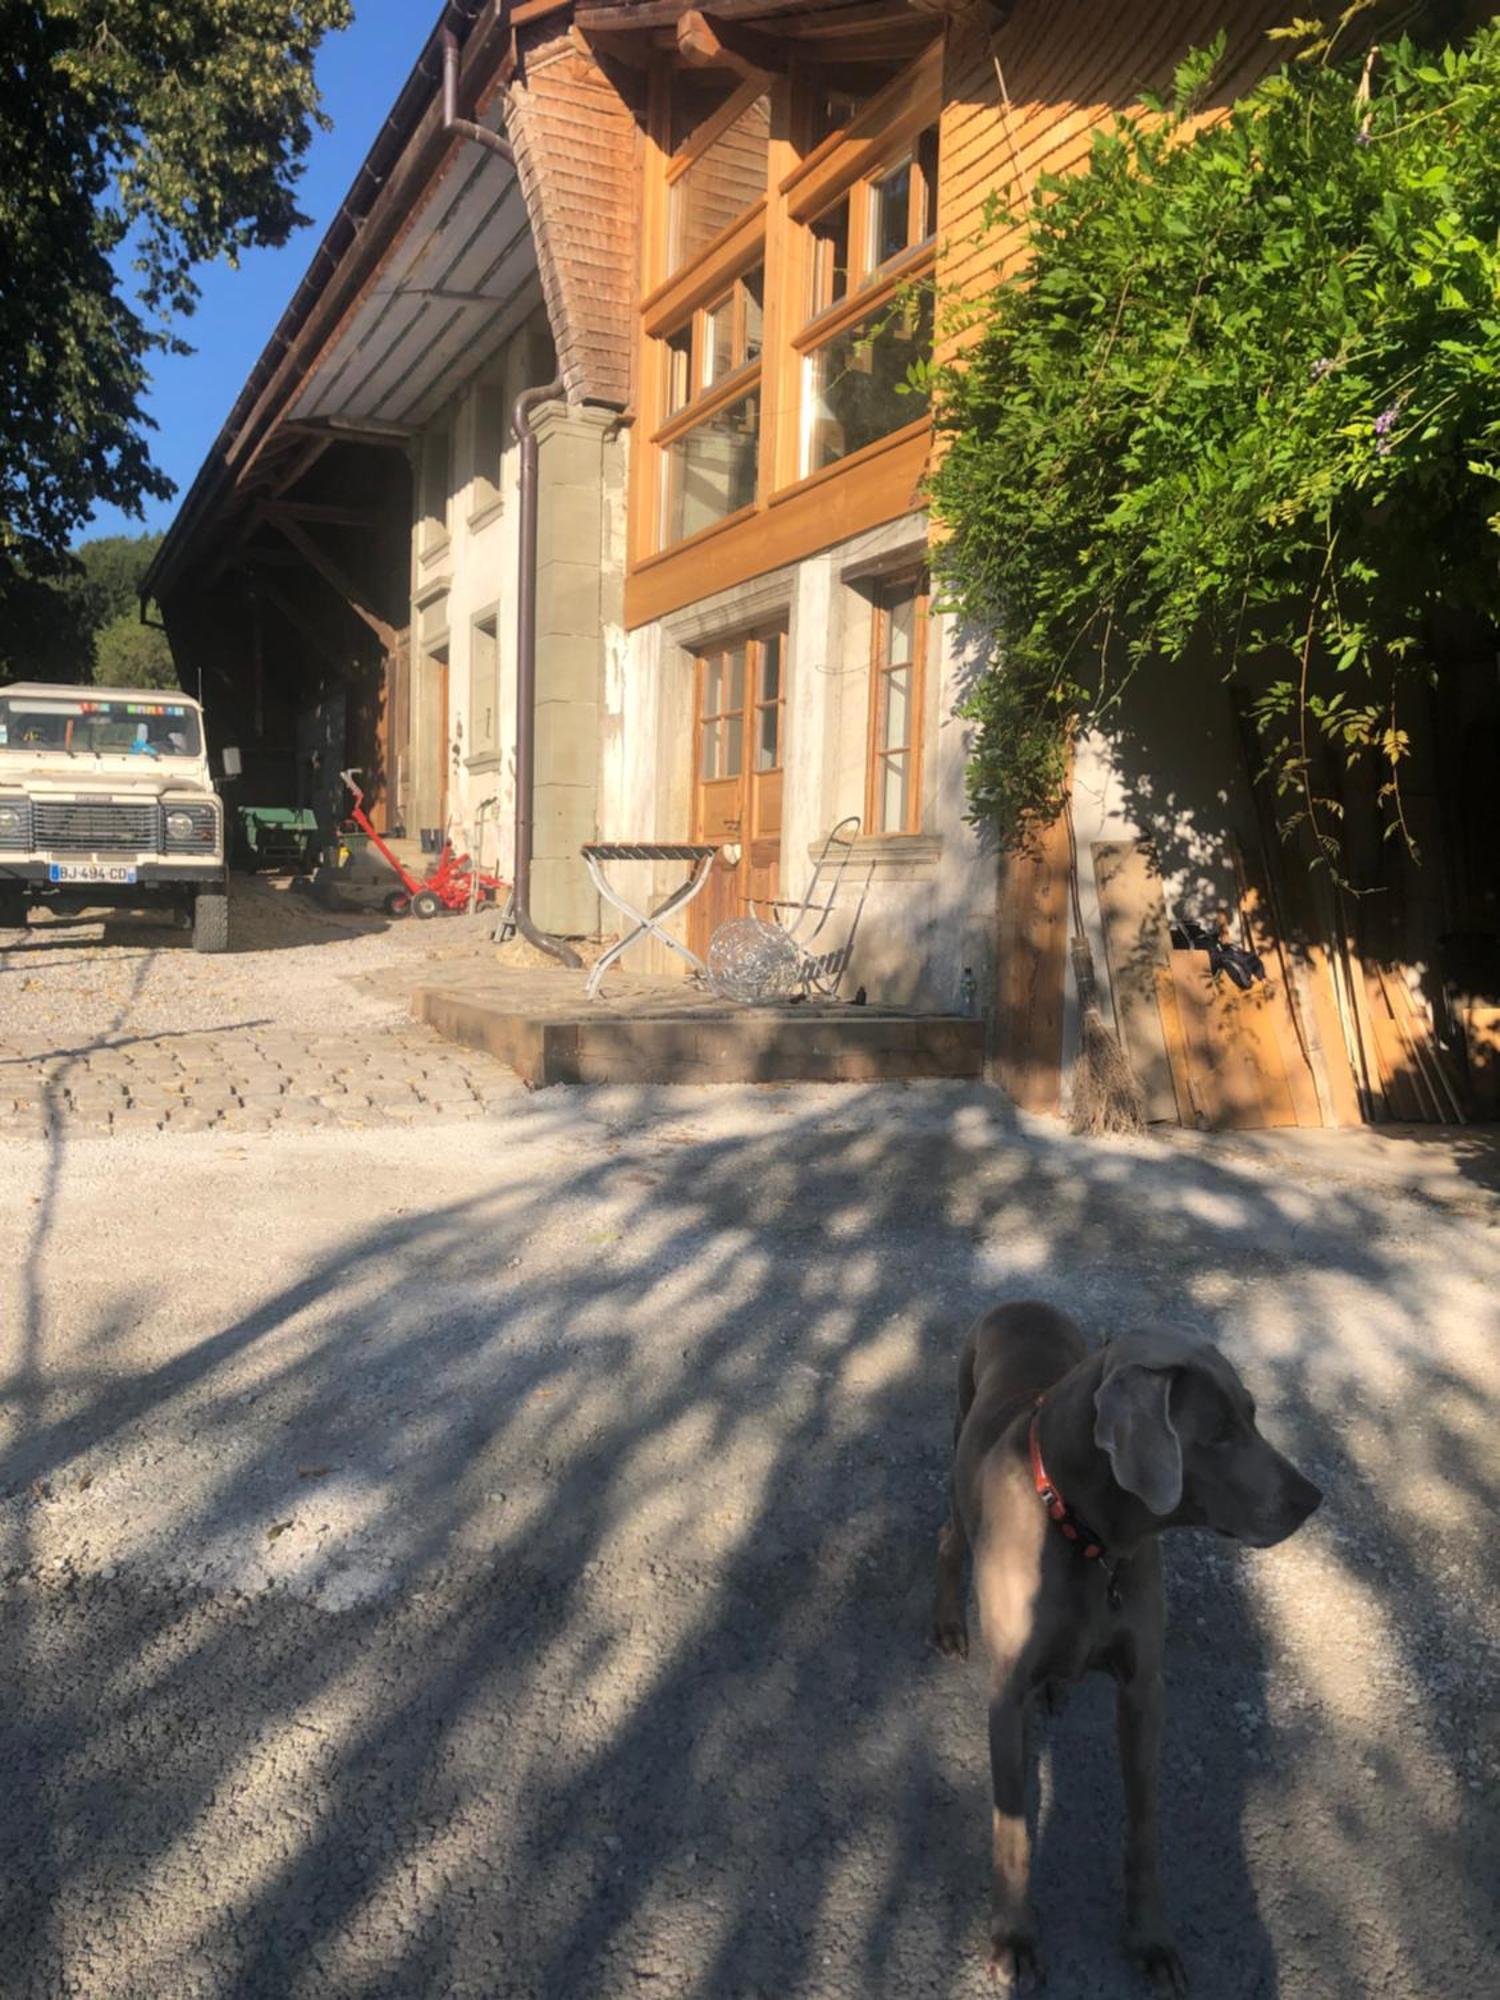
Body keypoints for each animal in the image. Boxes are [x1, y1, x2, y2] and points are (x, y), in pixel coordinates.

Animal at [940, 1304, 1328, 1992]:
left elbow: (1143, 1819)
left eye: (1253, 1413)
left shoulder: (1143, 1686)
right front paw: (1014, 1939)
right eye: (1216, 1433)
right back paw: (945, 1623)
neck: (1087, 1537)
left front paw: (1151, 1940)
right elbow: (1012, 1825)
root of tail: (1021, 1302)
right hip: (961, 1471)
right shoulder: (1004, 1698)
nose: (1312, 1500)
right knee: (945, 1536)